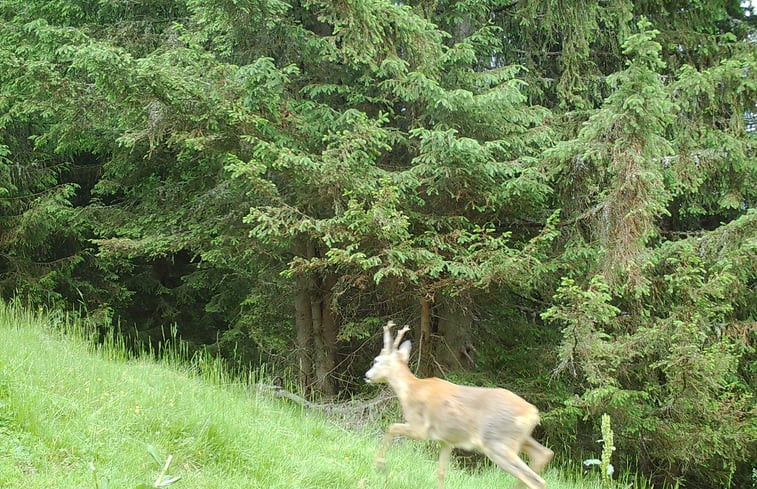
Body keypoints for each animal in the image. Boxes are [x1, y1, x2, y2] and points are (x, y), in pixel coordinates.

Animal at [364, 320, 552, 488]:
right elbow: (441, 472)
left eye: (376, 360)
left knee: (536, 480)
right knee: (544, 454)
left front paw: (380, 464)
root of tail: (533, 412)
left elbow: (391, 427)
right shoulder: (447, 440)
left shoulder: (420, 428)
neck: (410, 389)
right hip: (517, 439)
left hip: (497, 442)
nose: (367, 376)